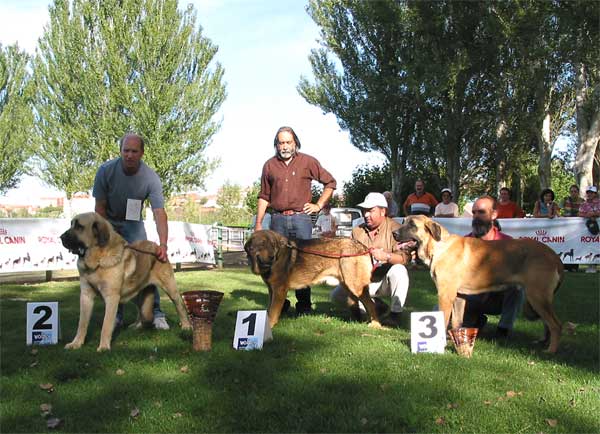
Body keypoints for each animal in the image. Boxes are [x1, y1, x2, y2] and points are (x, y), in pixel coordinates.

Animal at [59, 212, 191, 350]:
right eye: (71, 224)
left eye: (79, 226)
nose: (61, 237)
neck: (97, 260)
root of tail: (157, 247)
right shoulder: (86, 295)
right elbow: (82, 323)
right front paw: (76, 343)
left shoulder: (112, 297)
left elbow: (106, 325)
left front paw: (104, 347)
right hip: (133, 292)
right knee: (140, 308)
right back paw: (137, 325)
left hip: (170, 288)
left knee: (180, 306)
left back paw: (186, 326)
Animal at [244, 231, 380, 328]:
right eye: (261, 244)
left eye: (273, 245)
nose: (272, 257)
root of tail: (364, 247)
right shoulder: (272, 290)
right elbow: (269, 310)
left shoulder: (279, 290)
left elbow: (272, 312)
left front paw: (269, 326)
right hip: (348, 285)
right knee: (358, 303)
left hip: (355, 286)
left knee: (371, 304)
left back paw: (376, 325)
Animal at [394, 215, 564, 354]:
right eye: (403, 222)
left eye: (412, 225)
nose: (394, 234)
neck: (437, 247)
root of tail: (554, 256)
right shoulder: (458, 297)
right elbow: (456, 323)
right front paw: (458, 342)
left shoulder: (445, 295)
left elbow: (443, 321)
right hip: (539, 299)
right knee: (548, 324)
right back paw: (544, 343)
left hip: (536, 296)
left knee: (555, 325)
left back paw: (550, 351)